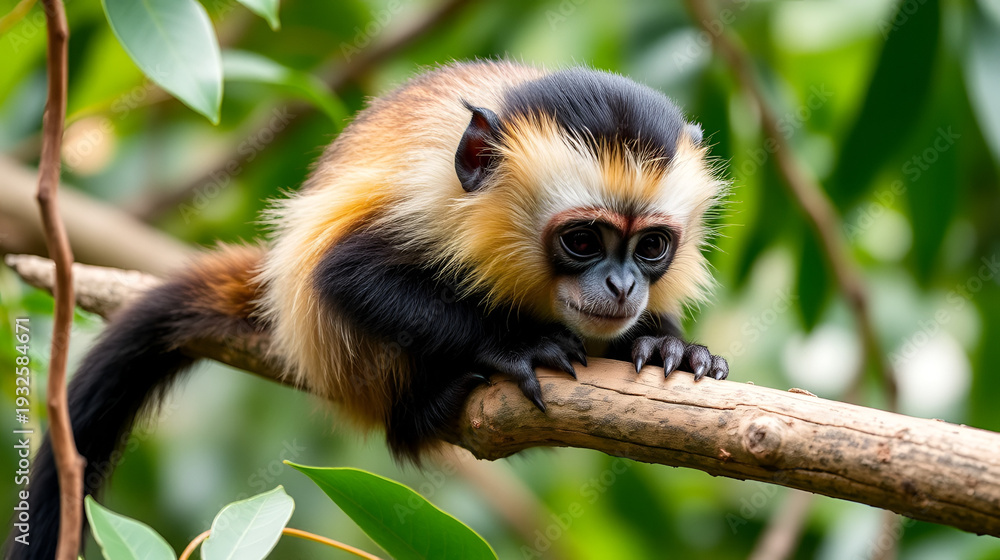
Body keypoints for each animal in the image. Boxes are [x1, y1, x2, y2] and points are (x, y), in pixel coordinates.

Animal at [5, 60, 728, 560]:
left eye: (651, 247)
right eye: (582, 241)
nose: (623, 285)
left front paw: (665, 343)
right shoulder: (427, 198)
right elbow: (344, 274)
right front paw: (518, 346)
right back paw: (426, 406)